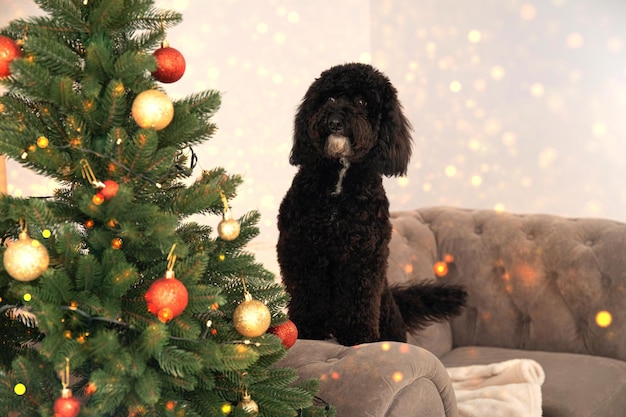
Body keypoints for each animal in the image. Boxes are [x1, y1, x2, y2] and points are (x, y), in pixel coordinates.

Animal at [276, 63, 466, 346]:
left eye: (362, 102)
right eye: (329, 98)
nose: (335, 122)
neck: (340, 179)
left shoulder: (365, 254)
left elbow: (360, 296)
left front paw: (360, 335)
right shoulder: (299, 246)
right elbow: (306, 291)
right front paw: (307, 329)